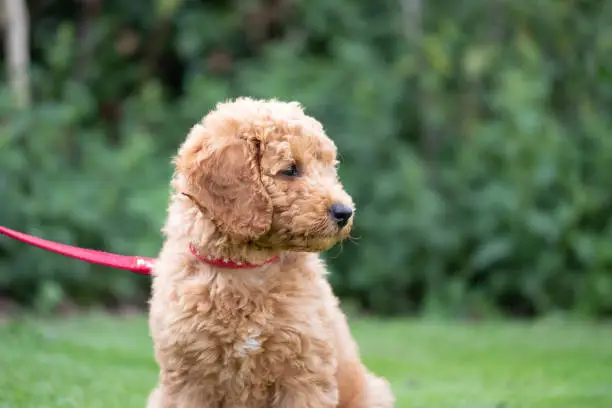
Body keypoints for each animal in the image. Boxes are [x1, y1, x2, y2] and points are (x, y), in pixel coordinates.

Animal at [149, 97, 396, 406]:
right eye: (290, 169)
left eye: (329, 167)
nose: (345, 212)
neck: (244, 267)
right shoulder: (188, 379)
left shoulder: (304, 373)